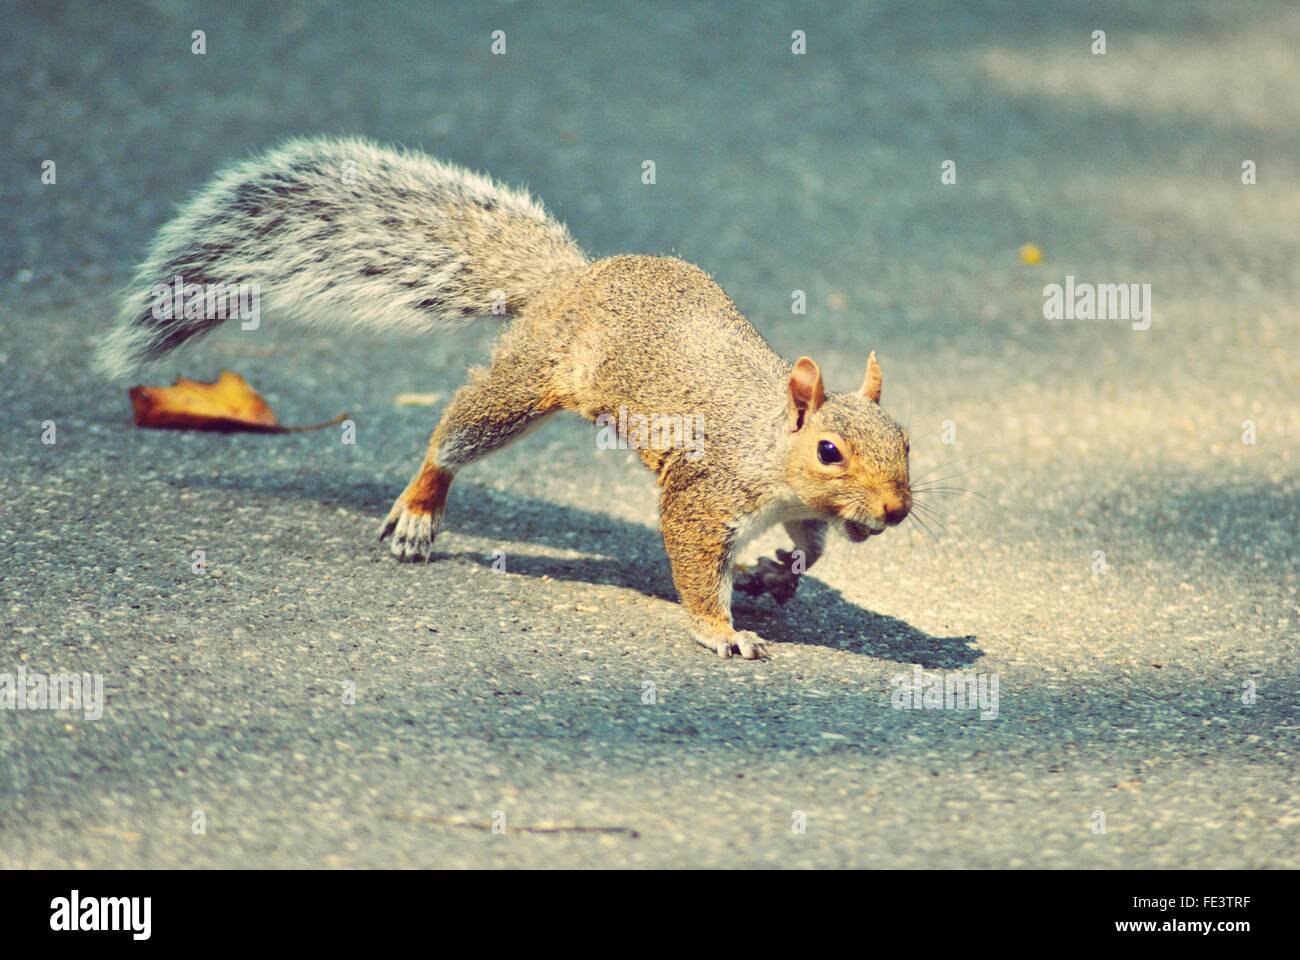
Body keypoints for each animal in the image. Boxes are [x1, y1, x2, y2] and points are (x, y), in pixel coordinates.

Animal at [95, 137, 912, 660]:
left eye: (905, 441)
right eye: (829, 450)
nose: (898, 511)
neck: (774, 450)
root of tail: (570, 280)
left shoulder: (799, 511)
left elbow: (811, 548)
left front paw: (778, 571)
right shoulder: (706, 491)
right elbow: (693, 565)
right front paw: (725, 631)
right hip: (526, 384)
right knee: (454, 438)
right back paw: (420, 509)